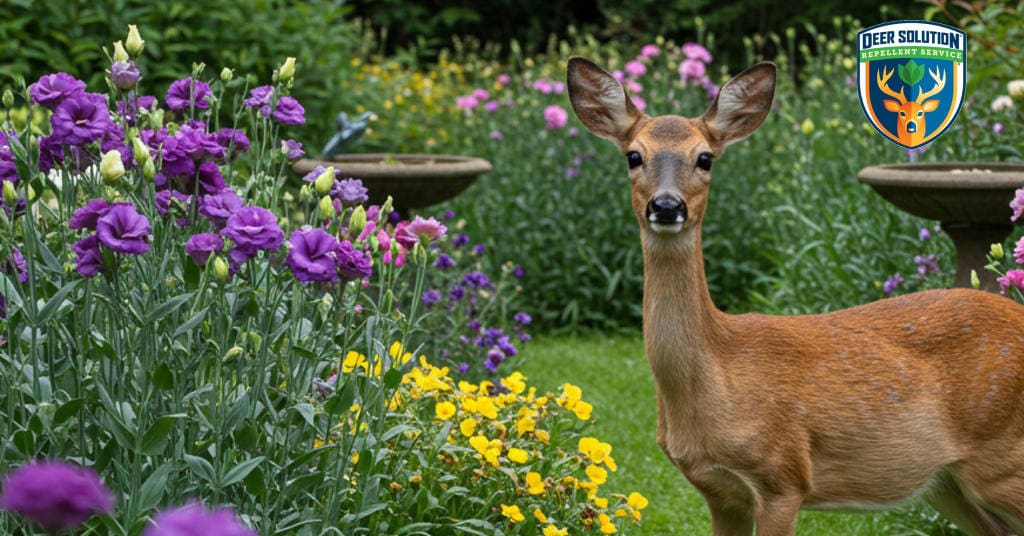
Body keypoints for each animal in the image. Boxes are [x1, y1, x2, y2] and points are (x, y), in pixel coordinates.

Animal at [566, 56, 1024, 536]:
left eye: (705, 158)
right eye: (634, 156)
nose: (667, 206)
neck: (718, 372)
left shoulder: (782, 476)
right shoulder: (718, 490)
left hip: (1002, 454)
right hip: (948, 481)